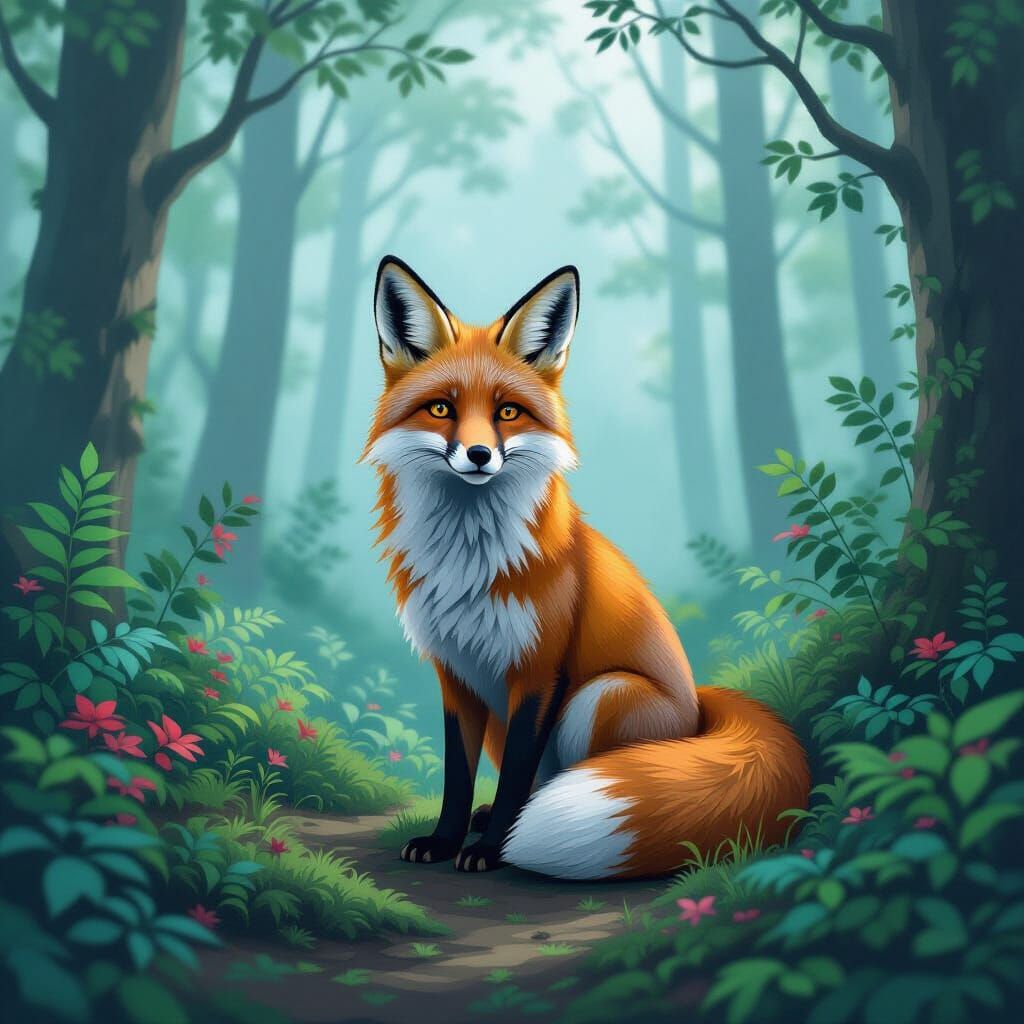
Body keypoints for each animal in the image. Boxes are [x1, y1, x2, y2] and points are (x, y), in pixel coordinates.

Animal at [362, 255, 810, 879]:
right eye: (442, 409)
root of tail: (699, 706)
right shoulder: (456, 674)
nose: (479, 456)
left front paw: (492, 849)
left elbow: (516, 777)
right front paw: (444, 839)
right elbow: (457, 775)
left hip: (599, 697)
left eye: (507, 412)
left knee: (560, 778)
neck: (469, 561)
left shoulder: (540, 671)